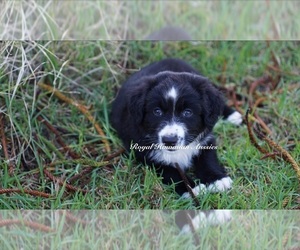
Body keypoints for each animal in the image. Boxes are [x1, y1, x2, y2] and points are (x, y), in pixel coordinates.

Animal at [111, 58, 243, 197]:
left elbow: (208, 158)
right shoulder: (145, 153)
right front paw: (192, 188)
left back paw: (232, 115)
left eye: (187, 112)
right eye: (157, 112)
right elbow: (171, 171)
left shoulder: (206, 138)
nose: (169, 141)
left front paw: (217, 179)